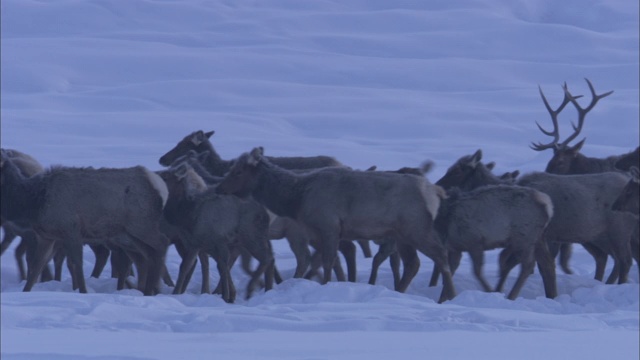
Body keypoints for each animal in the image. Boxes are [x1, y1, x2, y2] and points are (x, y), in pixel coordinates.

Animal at [0, 150, 170, 296]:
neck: (34, 202)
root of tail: (161, 187)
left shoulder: (72, 229)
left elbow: (76, 264)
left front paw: (83, 291)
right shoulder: (46, 236)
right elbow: (37, 265)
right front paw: (25, 292)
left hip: (141, 224)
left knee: (162, 244)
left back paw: (151, 290)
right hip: (131, 233)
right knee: (148, 256)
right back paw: (149, 289)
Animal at [216, 148, 456, 302]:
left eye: (238, 171)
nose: (219, 188)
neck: (298, 198)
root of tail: (436, 192)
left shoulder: (329, 225)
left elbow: (328, 260)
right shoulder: (318, 232)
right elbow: (327, 260)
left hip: (416, 227)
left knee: (441, 255)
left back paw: (447, 295)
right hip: (402, 235)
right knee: (413, 263)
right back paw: (401, 291)